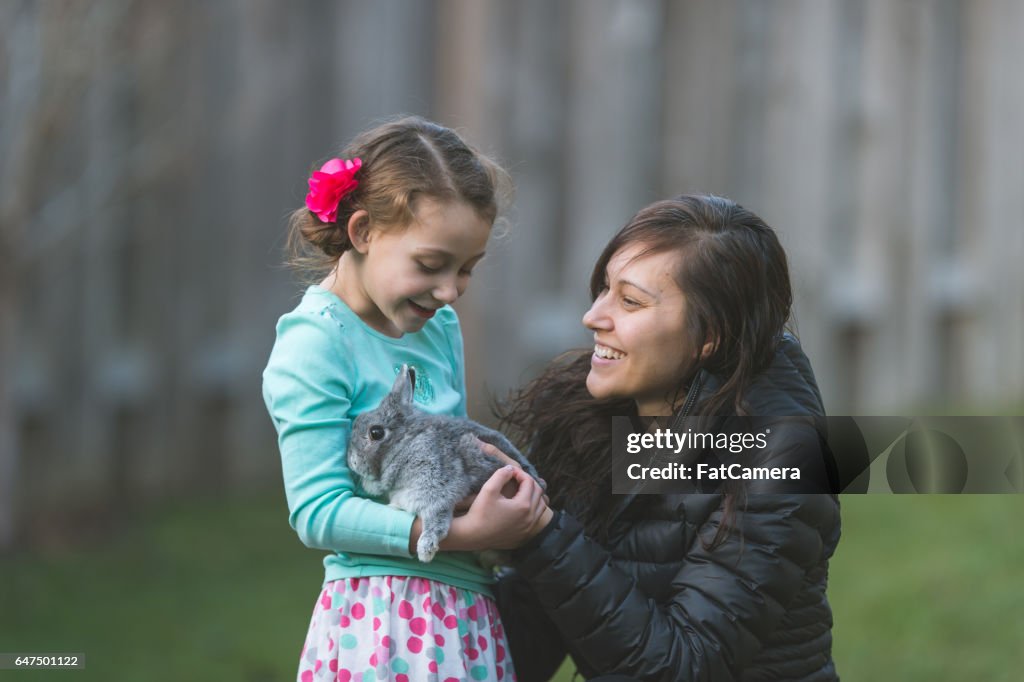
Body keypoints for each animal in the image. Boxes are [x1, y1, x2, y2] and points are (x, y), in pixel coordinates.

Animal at [350, 364, 544, 561]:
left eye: (376, 432)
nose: (352, 462)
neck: (408, 441)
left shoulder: (436, 484)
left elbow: (436, 517)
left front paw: (426, 549)